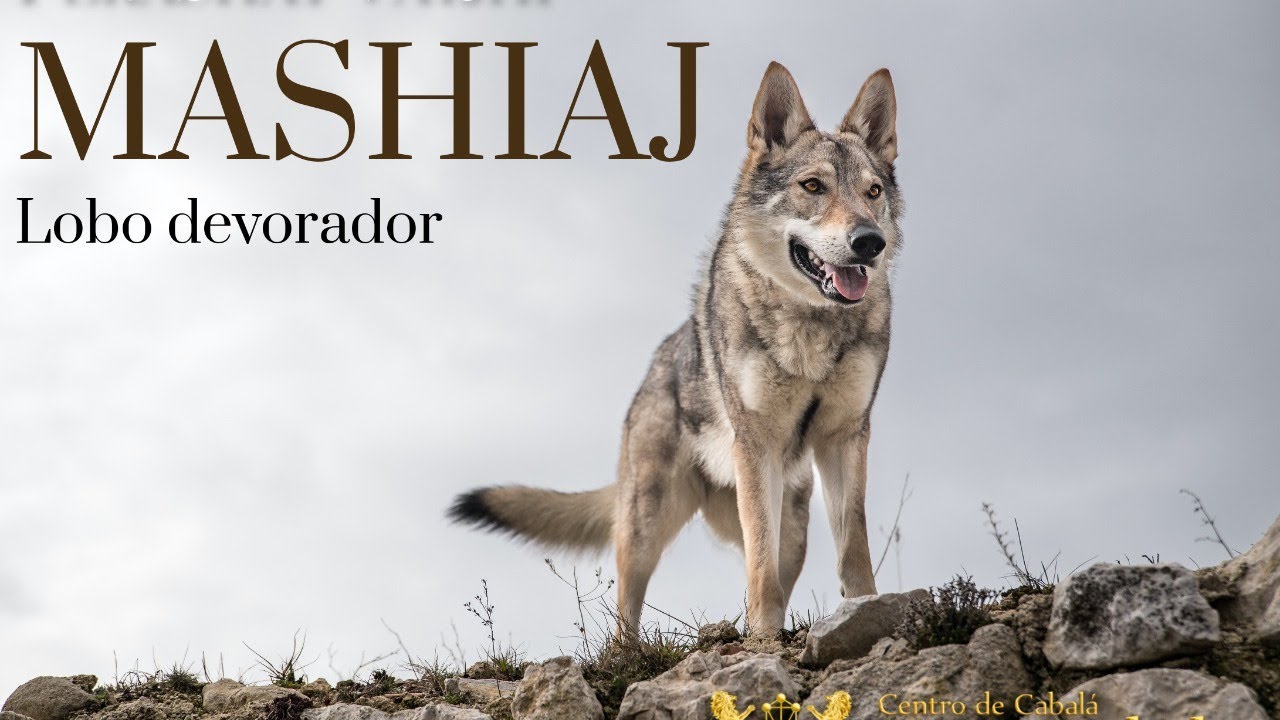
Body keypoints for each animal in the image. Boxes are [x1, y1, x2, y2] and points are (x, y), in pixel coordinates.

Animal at [449, 62, 902, 637]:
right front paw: (764, 640)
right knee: (630, 610)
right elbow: (762, 570)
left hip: (793, 524)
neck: (811, 330)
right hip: (648, 521)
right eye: (813, 186)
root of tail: (654, 366)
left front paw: (868, 613)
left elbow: (853, 550)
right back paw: (633, 652)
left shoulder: (846, 437)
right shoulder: (756, 445)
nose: (870, 242)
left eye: (872, 192)